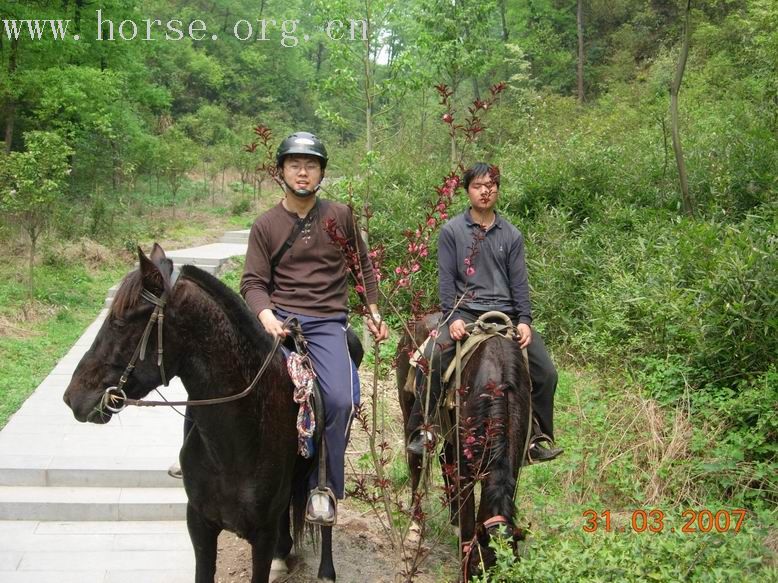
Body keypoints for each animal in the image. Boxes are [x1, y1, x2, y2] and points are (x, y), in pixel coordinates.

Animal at [60, 246, 340, 583]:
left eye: (120, 323)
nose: (72, 397)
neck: (236, 442)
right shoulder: (200, 523)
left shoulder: (261, 534)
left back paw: (325, 568)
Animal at [398, 314, 532, 580]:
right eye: (478, 570)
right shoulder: (467, 468)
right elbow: (470, 518)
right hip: (409, 409)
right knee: (416, 462)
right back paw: (415, 524)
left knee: (443, 458)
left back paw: (453, 520)